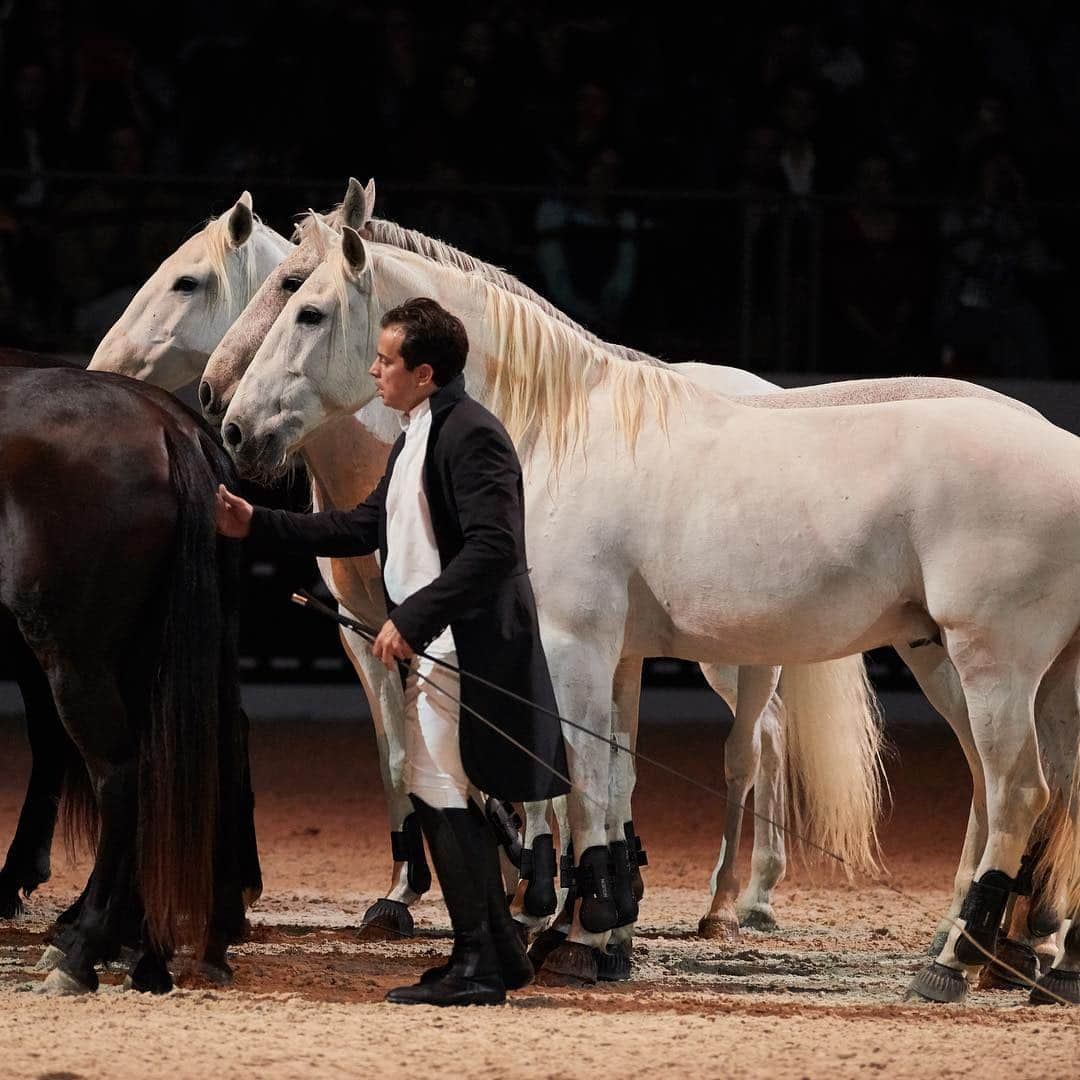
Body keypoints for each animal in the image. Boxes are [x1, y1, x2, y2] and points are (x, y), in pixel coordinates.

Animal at [217, 230, 1080, 1002]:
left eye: (305, 305)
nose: (231, 424)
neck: (559, 429)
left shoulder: (576, 645)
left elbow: (584, 779)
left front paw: (582, 936)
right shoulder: (614, 654)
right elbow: (610, 776)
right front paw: (595, 931)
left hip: (990, 667)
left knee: (1016, 791)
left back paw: (952, 964)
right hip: (992, 670)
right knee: (1027, 789)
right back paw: (1007, 954)